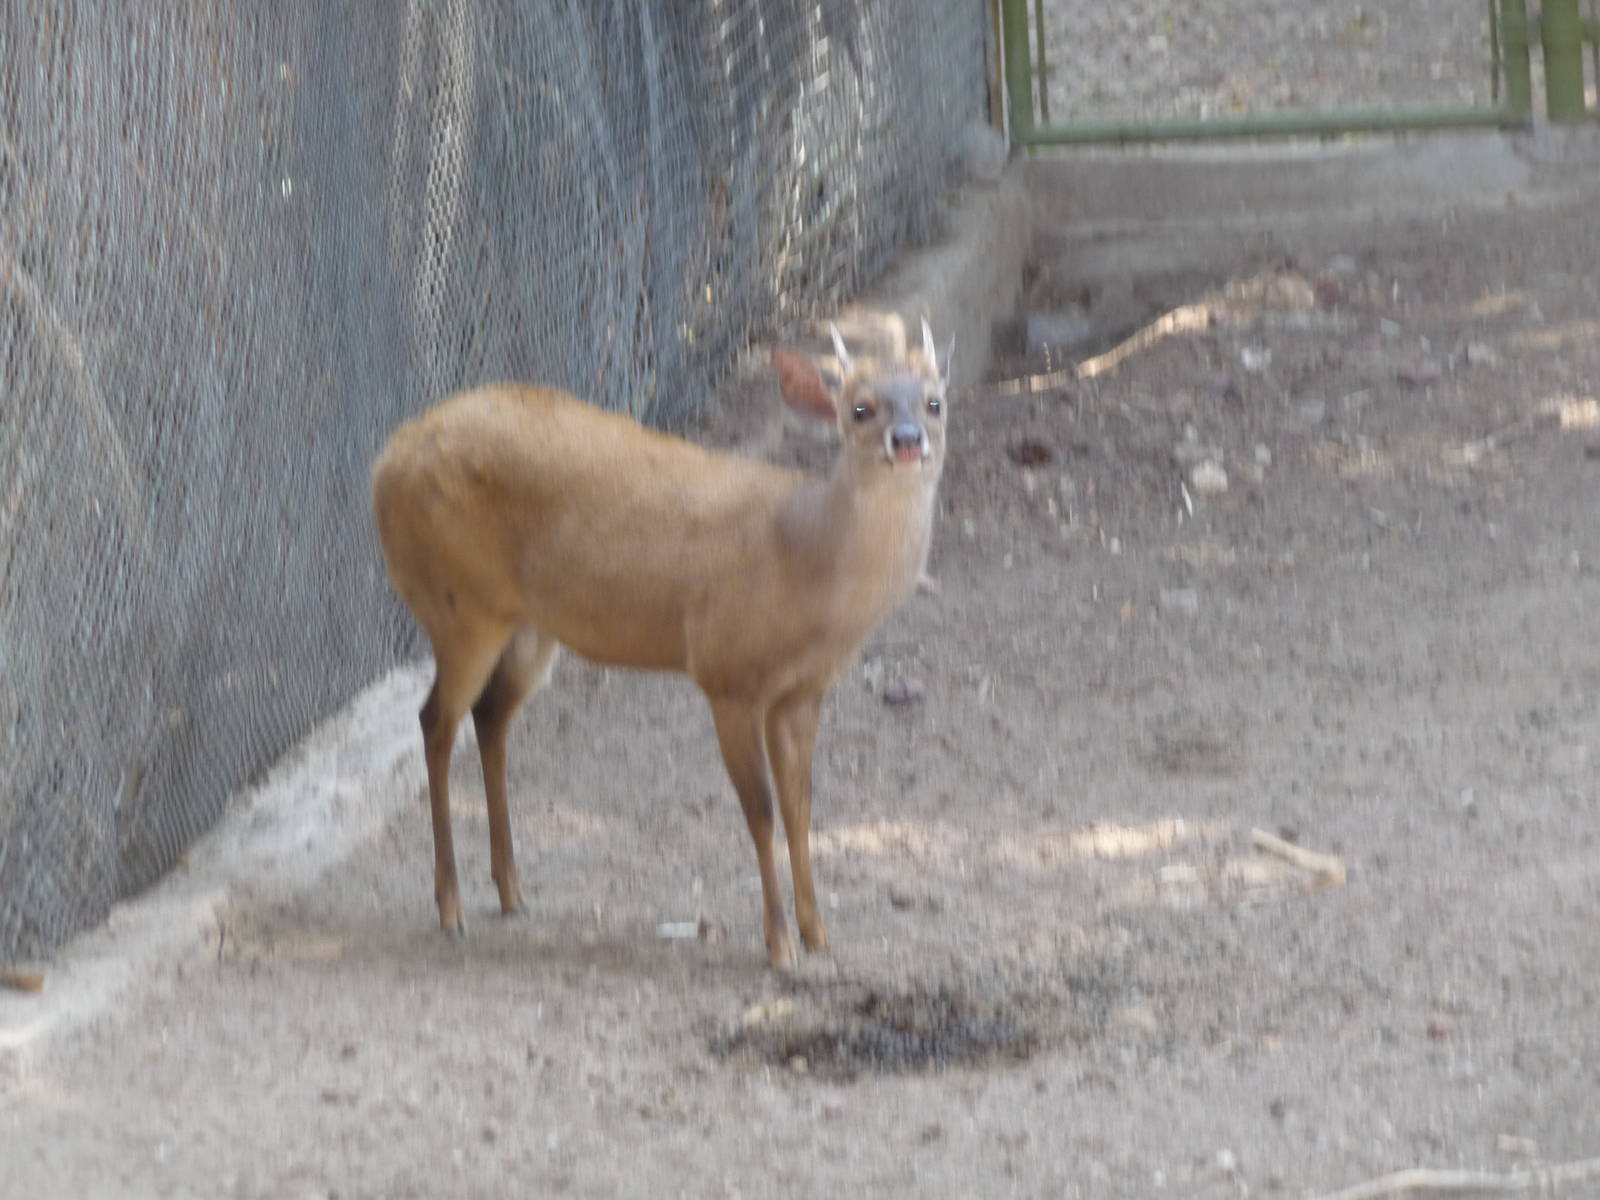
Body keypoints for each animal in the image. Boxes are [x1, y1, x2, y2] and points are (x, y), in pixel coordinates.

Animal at [370, 320, 950, 970]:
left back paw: (511, 890)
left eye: (934, 402)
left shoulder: (803, 691)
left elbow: (801, 806)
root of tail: (385, 459)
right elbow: (761, 810)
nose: (908, 440)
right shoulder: (726, 672)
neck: (808, 567)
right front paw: (778, 945)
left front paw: (818, 932)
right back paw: (451, 907)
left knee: (489, 717)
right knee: (436, 721)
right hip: (460, 605)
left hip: (530, 626)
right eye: (859, 408)